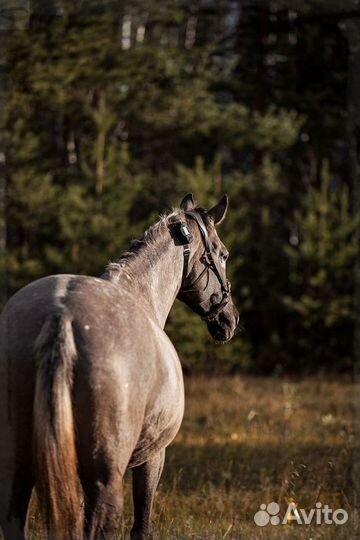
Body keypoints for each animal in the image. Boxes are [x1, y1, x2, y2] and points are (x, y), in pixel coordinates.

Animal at [0, 194, 239, 540]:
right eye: (222, 254)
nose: (230, 320)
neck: (142, 295)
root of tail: (60, 313)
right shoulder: (152, 457)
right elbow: (142, 526)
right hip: (105, 477)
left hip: (17, 463)